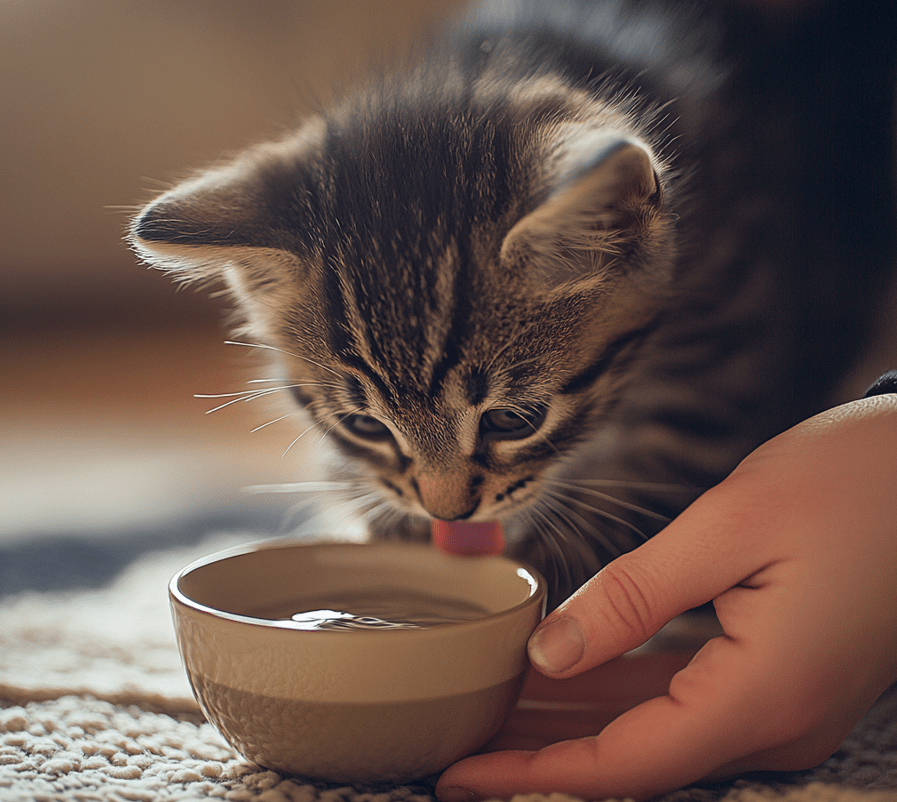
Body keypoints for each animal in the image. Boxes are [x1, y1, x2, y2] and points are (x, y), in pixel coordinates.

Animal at [131, 0, 896, 608]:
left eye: (512, 420)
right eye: (365, 426)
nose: (447, 511)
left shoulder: (730, 359)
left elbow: (655, 478)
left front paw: (548, 571)